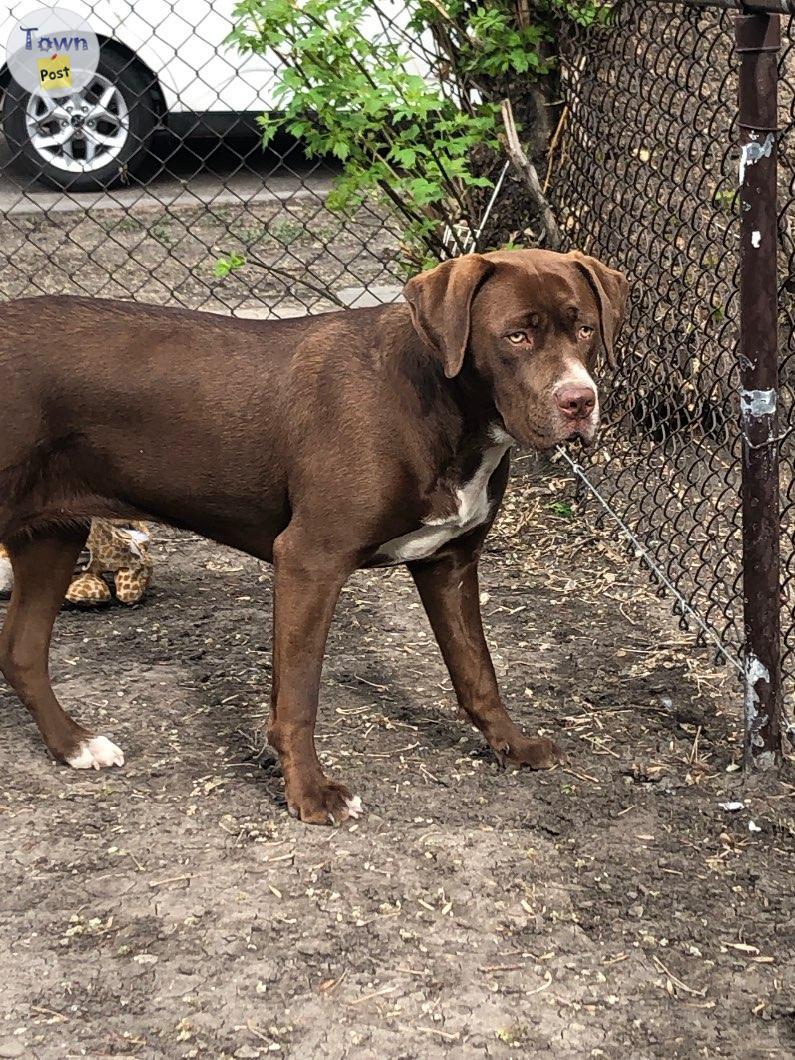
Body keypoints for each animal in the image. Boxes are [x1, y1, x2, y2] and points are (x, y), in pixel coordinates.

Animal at [0, 250, 627, 826]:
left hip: (52, 536)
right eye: (516, 335)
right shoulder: (309, 561)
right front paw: (309, 793)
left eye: (585, 330)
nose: (580, 401)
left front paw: (512, 747)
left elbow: (478, 672)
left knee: (22, 653)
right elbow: (299, 697)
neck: (439, 406)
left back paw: (75, 746)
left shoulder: (449, 563)